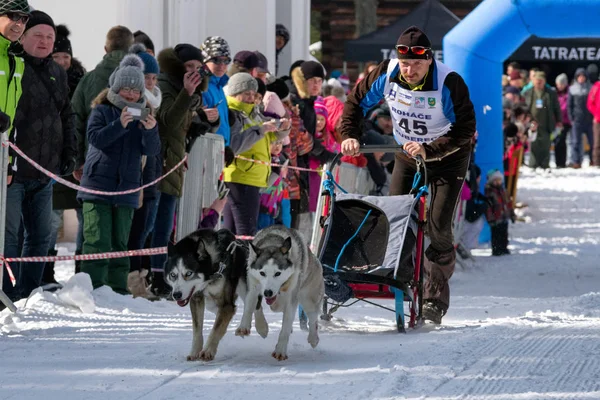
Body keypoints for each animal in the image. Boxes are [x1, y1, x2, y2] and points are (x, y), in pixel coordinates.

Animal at [163, 228, 268, 362]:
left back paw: (261, 327)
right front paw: (195, 352)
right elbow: (197, 329)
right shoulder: (196, 298)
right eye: (173, 275)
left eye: (189, 273)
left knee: (255, 304)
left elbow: (216, 328)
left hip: (245, 286)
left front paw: (208, 351)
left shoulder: (226, 305)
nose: (176, 295)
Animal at [238, 227, 324, 360]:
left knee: (313, 318)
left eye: (278, 273)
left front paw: (280, 351)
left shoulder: (291, 299)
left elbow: (285, 328)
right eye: (262, 273)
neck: (272, 243)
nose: (268, 292)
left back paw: (313, 338)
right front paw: (245, 327)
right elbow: (249, 307)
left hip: (308, 299)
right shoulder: (253, 286)